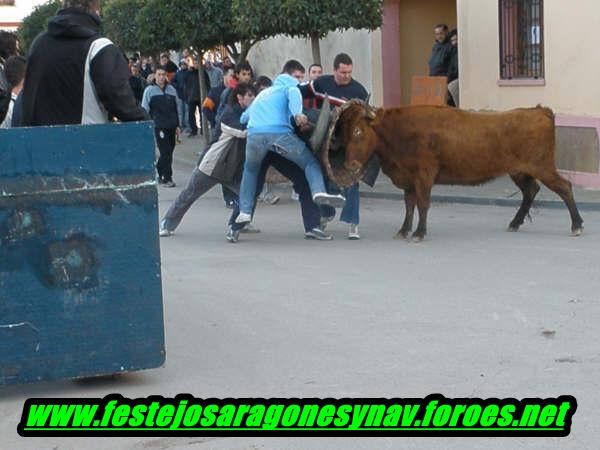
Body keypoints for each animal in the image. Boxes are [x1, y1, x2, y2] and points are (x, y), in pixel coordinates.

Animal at [326, 100, 584, 241]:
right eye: (344, 133)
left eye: (359, 132)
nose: (350, 165)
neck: (399, 131)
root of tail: (539, 110)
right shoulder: (408, 179)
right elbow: (409, 206)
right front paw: (404, 230)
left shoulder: (424, 175)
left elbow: (422, 204)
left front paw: (419, 233)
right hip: (519, 171)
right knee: (531, 191)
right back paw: (515, 222)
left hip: (542, 166)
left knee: (564, 187)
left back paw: (577, 225)